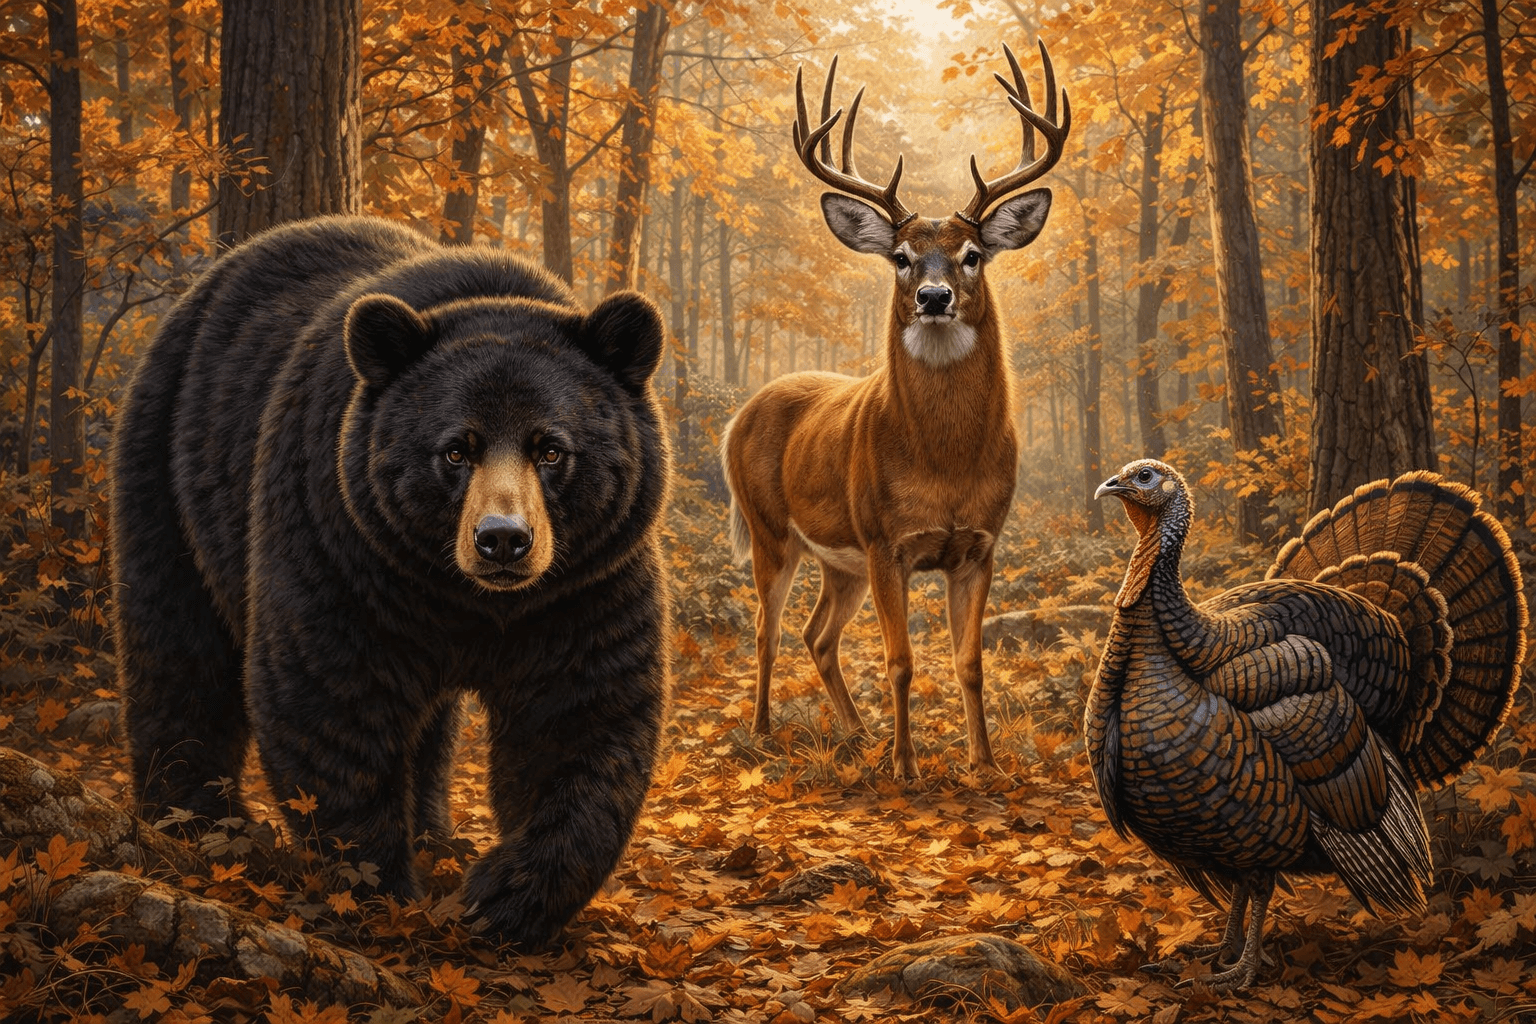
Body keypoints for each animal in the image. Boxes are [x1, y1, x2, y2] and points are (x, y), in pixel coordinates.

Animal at [110, 215, 671, 947]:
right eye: (455, 449)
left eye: (551, 448)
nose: (503, 539)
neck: (466, 599)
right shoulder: (342, 545)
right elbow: (334, 693)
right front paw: (380, 887)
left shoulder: (584, 584)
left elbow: (580, 714)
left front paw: (502, 897)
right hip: (172, 463)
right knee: (177, 644)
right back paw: (194, 821)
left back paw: (436, 837)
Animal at [720, 42, 1071, 779]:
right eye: (902, 258)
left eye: (973, 254)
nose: (935, 297)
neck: (944, 463)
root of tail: (740, 414)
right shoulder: (886, 541)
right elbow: (901, 660)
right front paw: (906, 768)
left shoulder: (979, 544)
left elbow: (968, 663)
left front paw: (983, 764)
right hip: (772, 530)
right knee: (767, 629)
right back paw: (765, 731)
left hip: (838, 561)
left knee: (817, 634)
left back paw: (855, 734)